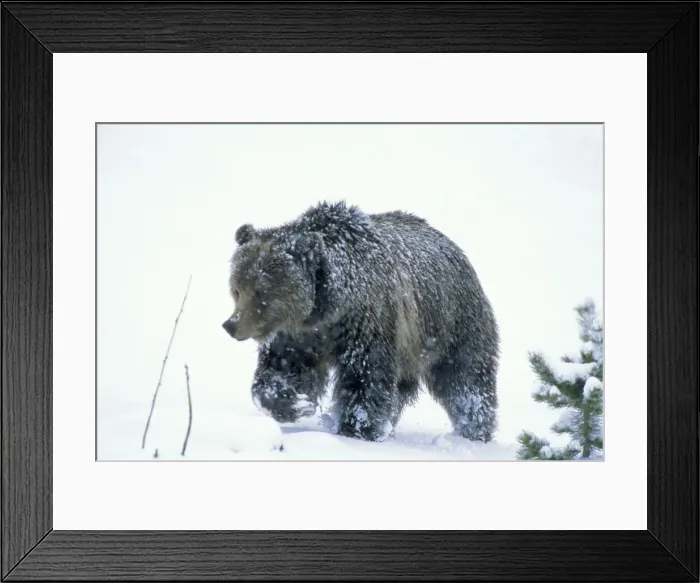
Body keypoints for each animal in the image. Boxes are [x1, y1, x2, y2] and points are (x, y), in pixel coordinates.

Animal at [222, 201, 500, 443]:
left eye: (262, 291)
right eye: (237, 288)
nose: (231, 324)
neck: (328, 307)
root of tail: (456, 249)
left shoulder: (367, 321)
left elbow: (365, 377)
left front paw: (357, 428)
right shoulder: (298, 335)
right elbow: (283, 368)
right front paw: (295, 403)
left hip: (451, 323)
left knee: (464, 379)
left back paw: (474, 430)